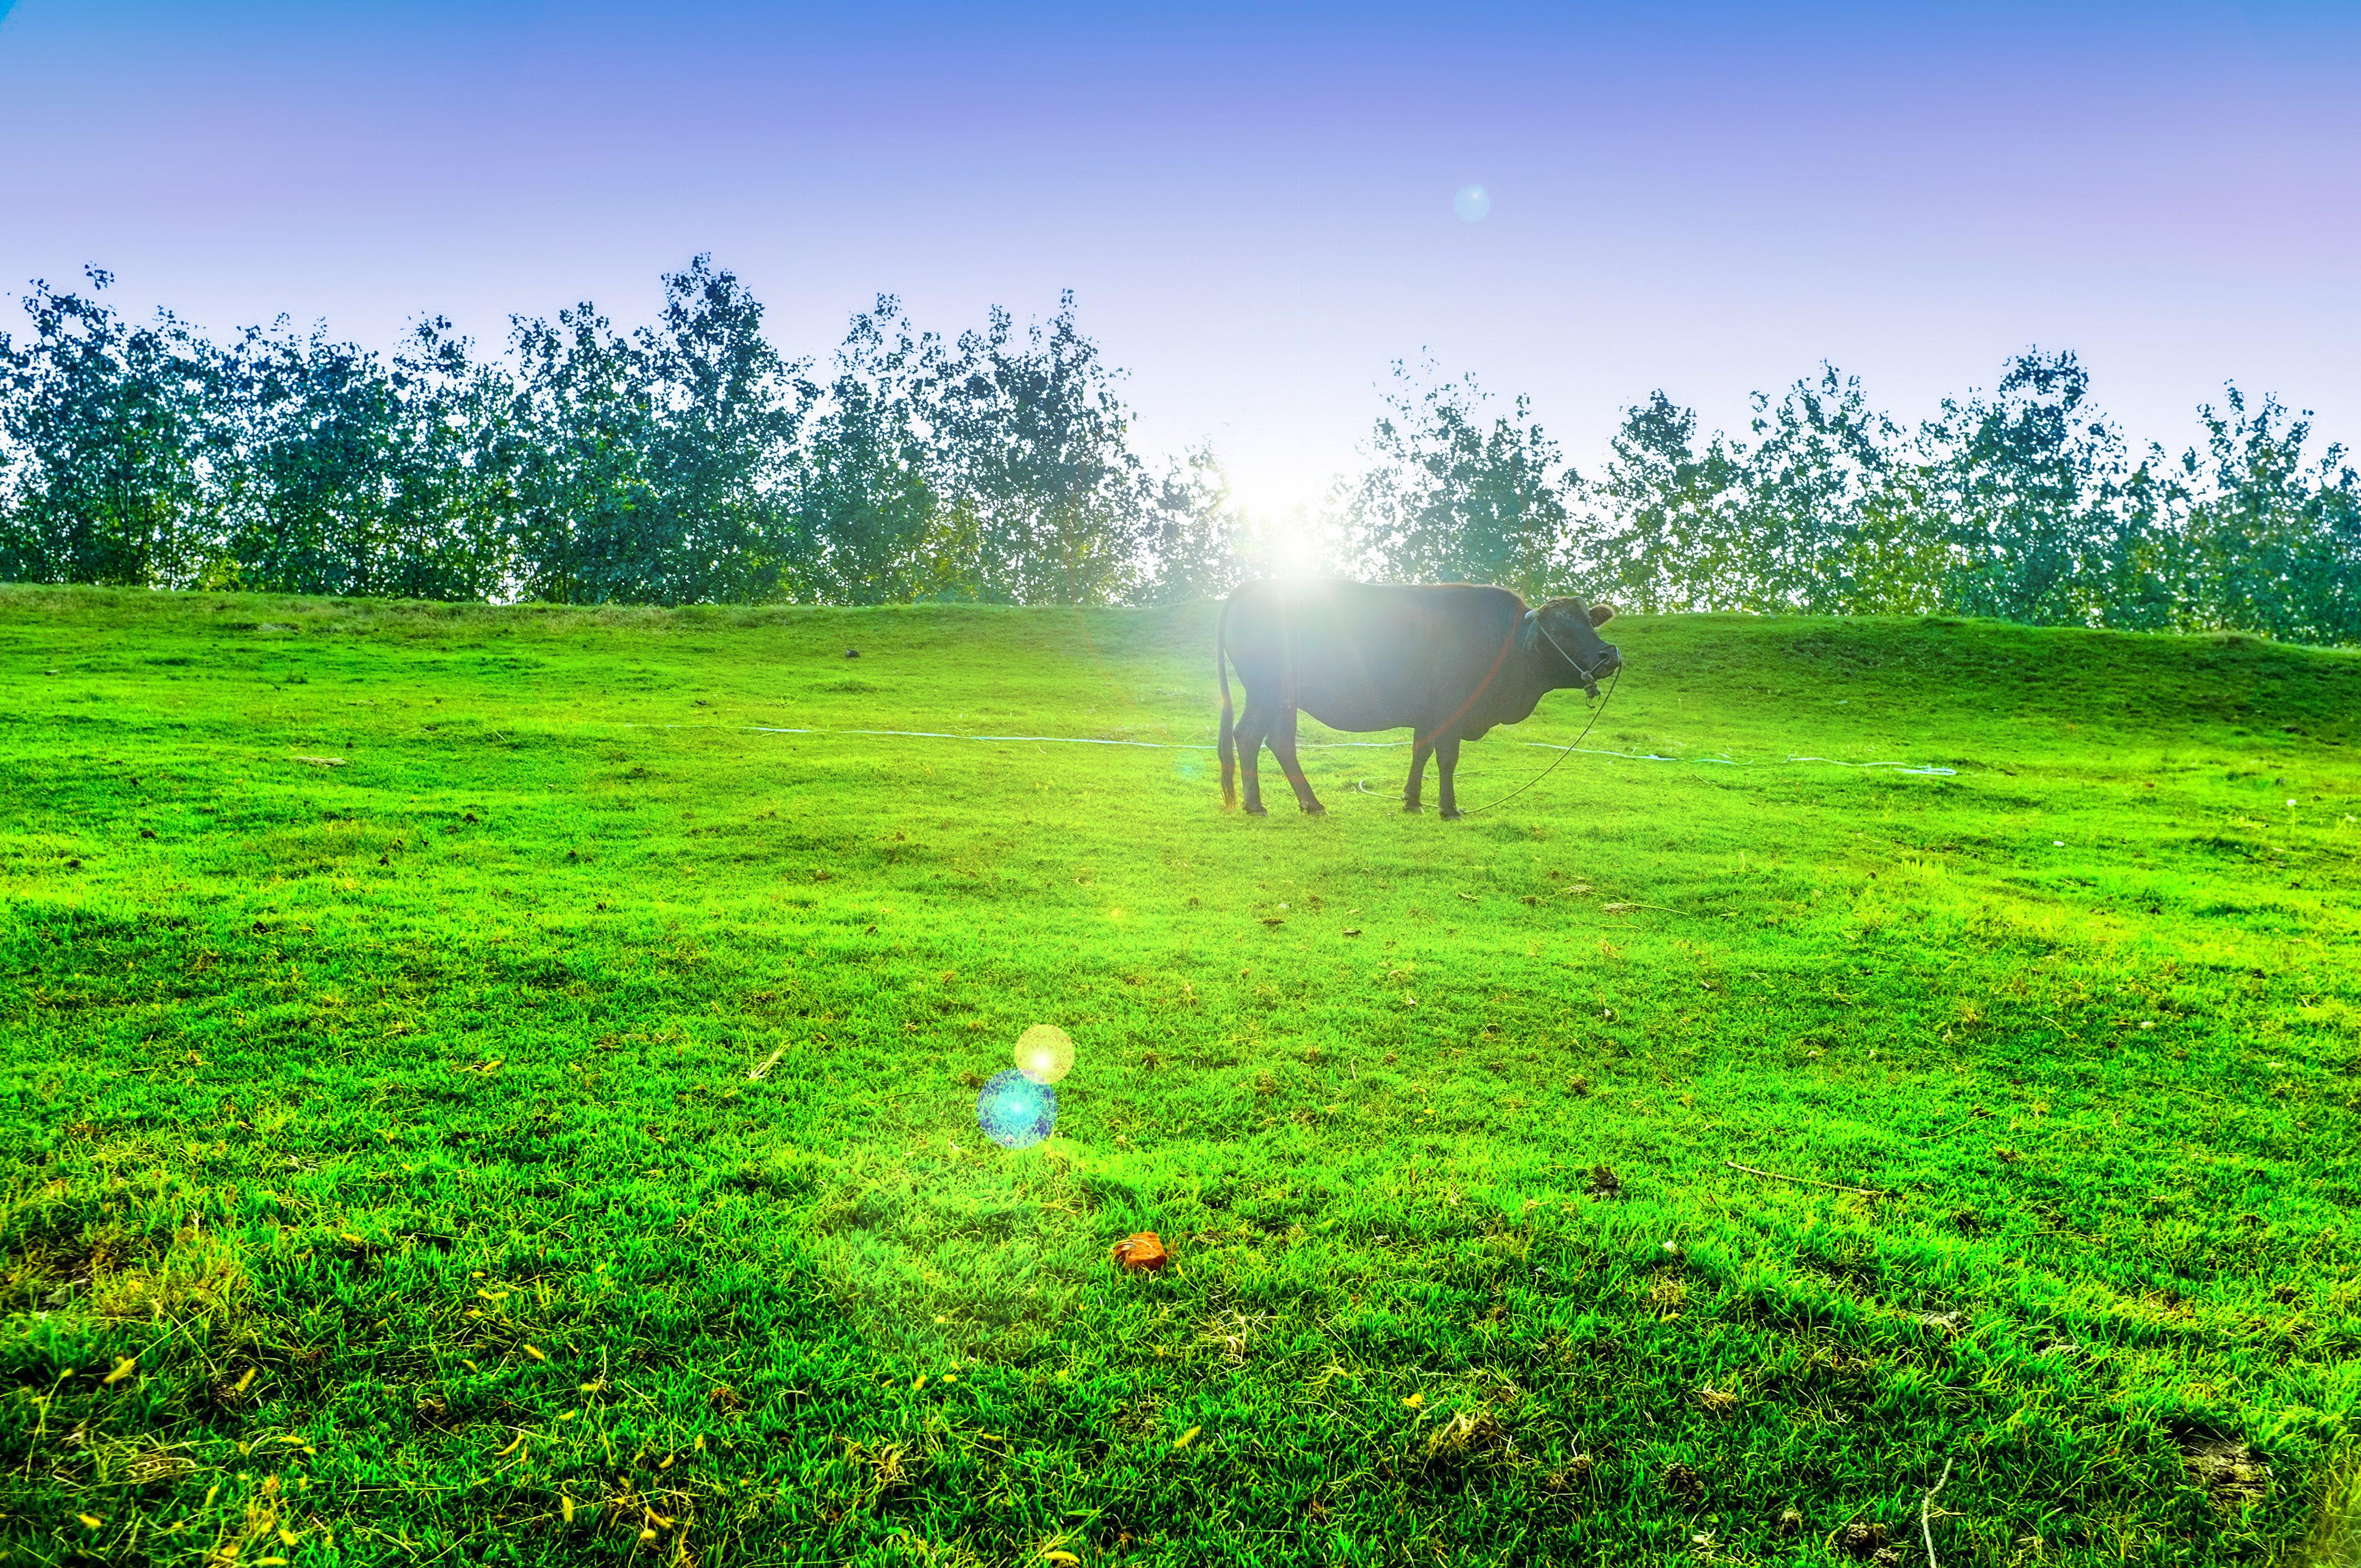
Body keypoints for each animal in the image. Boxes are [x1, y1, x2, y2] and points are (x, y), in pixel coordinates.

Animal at [1218, 578, 1624, 821]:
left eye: (1590, 622)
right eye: (1559, 629)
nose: (1609, 654)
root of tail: (1259, 584)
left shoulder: (1428, 713)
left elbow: (1421, 751)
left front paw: (1412, 800)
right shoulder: (1452, 709)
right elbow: (1447, 758)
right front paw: (1449, 808)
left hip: (1283, 698)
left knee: (1279, 741)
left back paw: (1309, 803)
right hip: (1266, 690)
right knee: (1250, 737)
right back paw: (1257, 805)